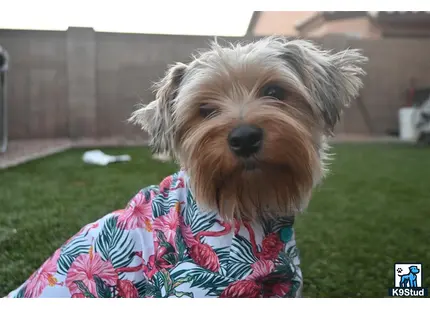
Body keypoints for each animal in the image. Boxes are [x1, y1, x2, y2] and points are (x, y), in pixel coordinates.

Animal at [6, 36, 366, 298]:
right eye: (205, 110)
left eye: (275, 91)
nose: (244, 137)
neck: (248, 204)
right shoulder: (194, 283)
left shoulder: (279, 282)